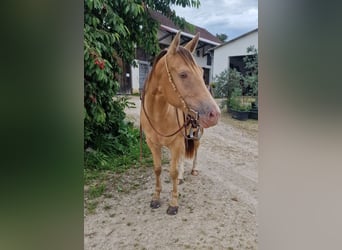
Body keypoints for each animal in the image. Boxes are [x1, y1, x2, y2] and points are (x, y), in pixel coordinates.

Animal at [140, 31, 220, 215]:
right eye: (183, 74)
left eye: (201, 72)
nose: (215, 114)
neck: (158, 115)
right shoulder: (152, 144)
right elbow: (158, 169)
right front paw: (156, 198)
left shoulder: (176, 143)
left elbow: (173, 172)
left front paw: (173, 204)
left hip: (196, 134)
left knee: (195, 150)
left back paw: (193, 170)